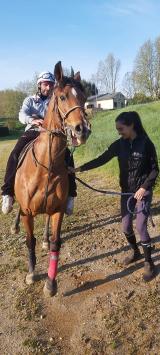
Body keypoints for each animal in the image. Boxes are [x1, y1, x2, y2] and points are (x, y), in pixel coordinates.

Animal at [13, 62, 90, 298]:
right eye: (63, 97)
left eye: (83, 96)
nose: (83, 130)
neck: (45, 166)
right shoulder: (27, 212)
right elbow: (30, 242)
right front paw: (31, 274)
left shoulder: (57, 211)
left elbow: (56, 244)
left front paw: (50, 283)